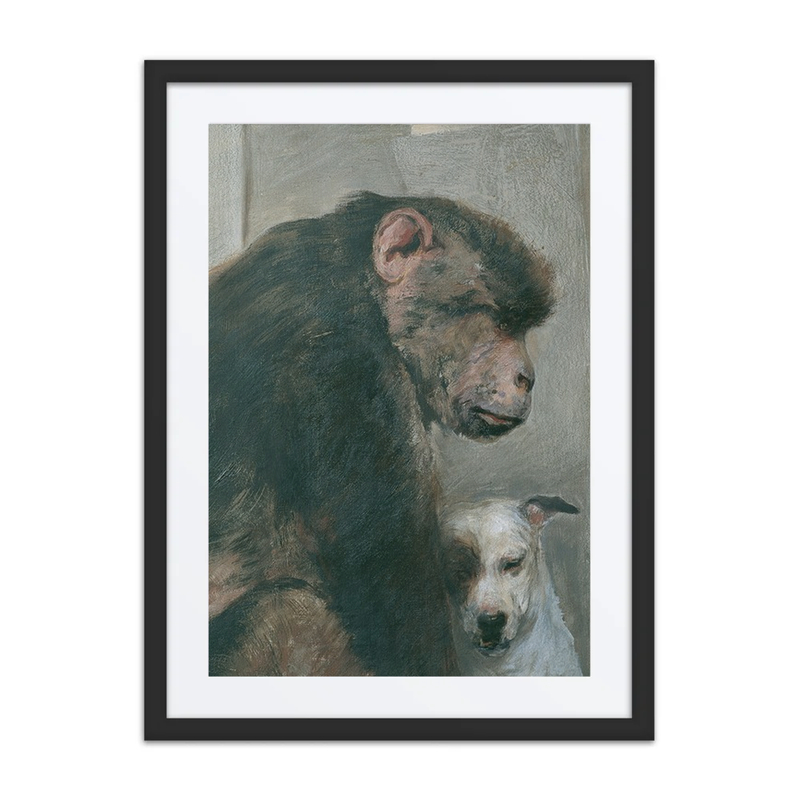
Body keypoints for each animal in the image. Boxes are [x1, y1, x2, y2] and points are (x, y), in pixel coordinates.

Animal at [208, 192, 555, 676]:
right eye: (497, 319)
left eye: (521, 325)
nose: (526, 378)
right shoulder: (346, 366)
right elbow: (394, 589)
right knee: (291, 610)